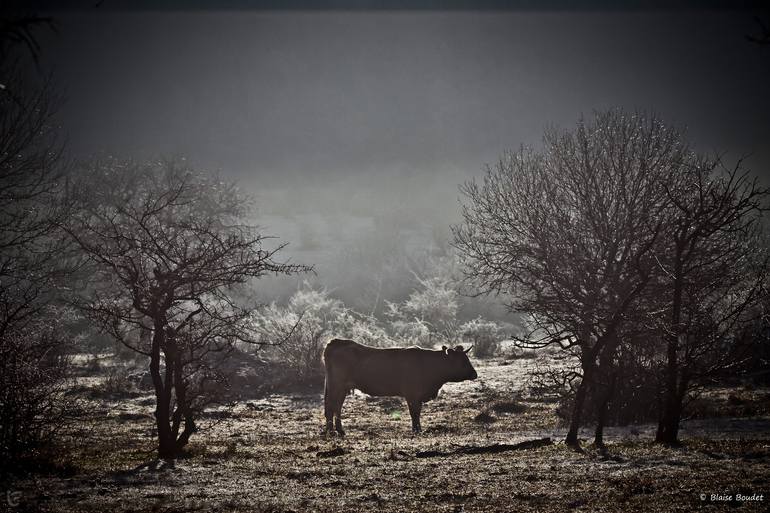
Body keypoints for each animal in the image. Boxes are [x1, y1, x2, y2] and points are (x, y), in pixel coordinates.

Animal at [320, 338, 476, 434]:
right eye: (462, 362)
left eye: (467, 359)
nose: (475, 374)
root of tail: (336, 342)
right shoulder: (412, 394)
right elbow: (414, 413)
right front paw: (417, 430)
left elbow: (417, 412)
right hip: (336, 386)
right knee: (331, 405)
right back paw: (332, 431)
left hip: (341, 387)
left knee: (336, 406)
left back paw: (339, 430)